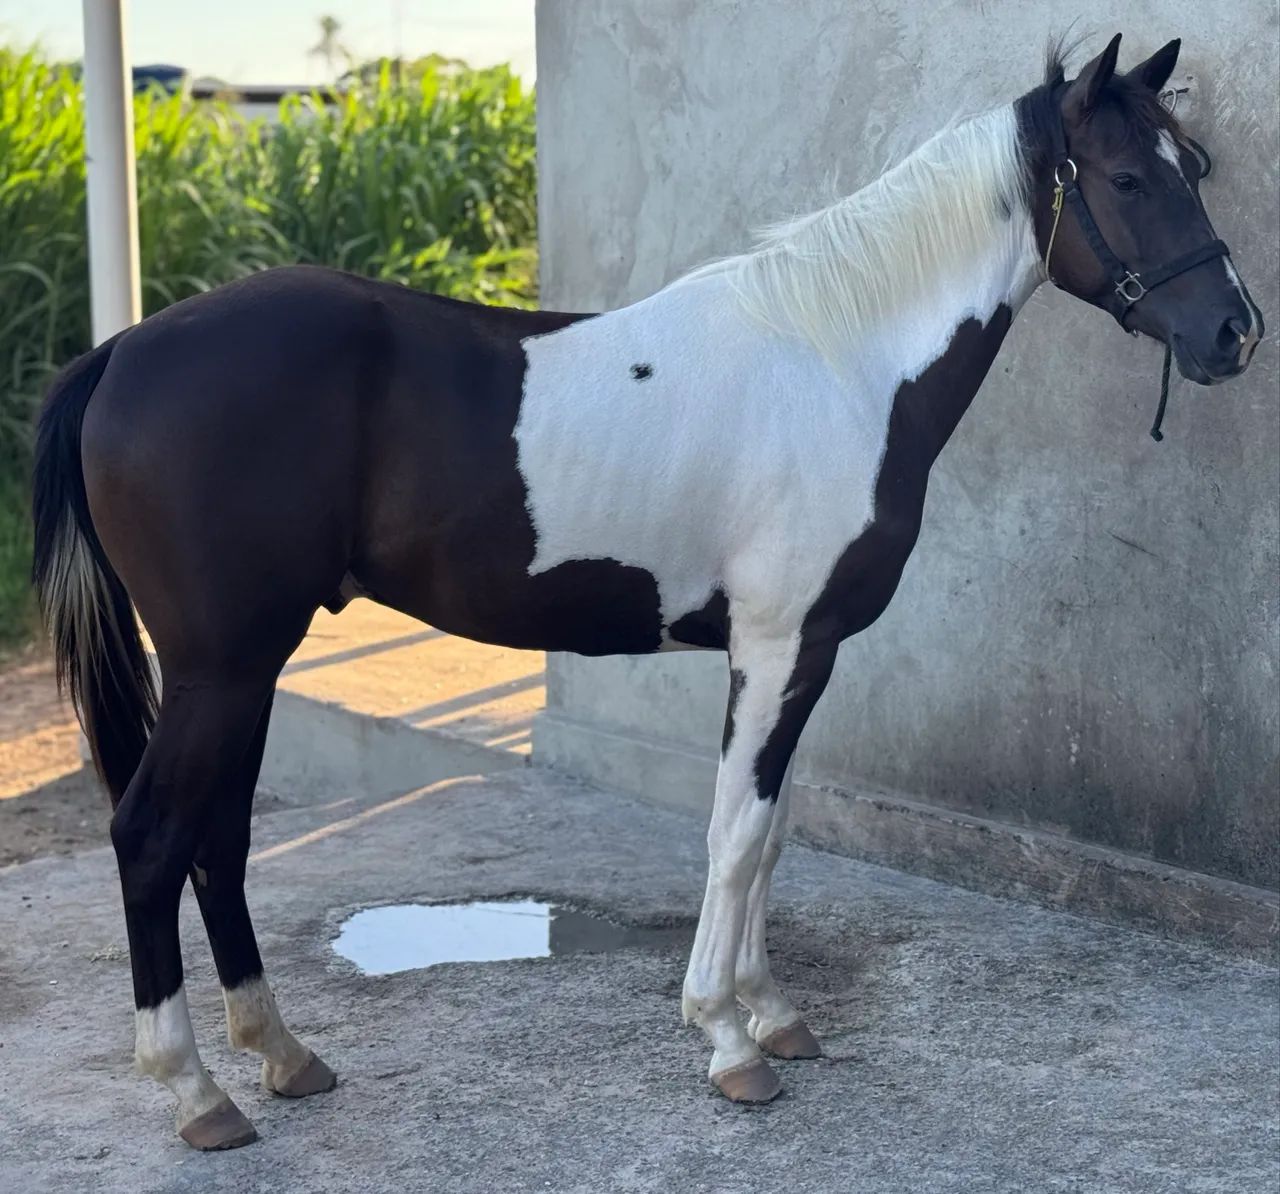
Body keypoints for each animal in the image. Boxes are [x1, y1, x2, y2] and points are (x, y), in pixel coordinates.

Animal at [31, 34, 1263, 1149]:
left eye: (1192, 166)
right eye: (1127, 178)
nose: (1233, 332)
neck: (838, 361)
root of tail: (121, 352)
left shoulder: (805, 654)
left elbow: (770, 832)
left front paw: (772, 1015)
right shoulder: (775, 647)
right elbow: (734, 833)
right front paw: (725, 1040)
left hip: (242, 666)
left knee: (219, 837)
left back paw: (282, 1055)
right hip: (222, 665)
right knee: (153, 836)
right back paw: (198, 1094)